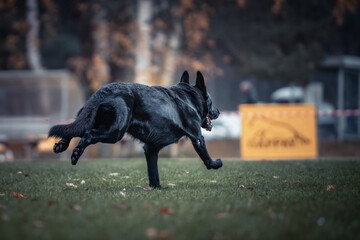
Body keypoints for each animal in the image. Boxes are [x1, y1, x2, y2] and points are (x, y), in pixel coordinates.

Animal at [48, 70, 222, 188]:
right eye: (211, 101)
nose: (219, 112)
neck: (189, 98)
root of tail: (102, 92)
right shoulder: (197, 138)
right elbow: (207, 158)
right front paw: (216, 163)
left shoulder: (151, 149)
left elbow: (153, 172)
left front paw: (157, 188)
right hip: (115, 132)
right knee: (87, 134)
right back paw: (76, 153)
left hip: (91, 118)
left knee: (74, 130)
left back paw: (61, 145)